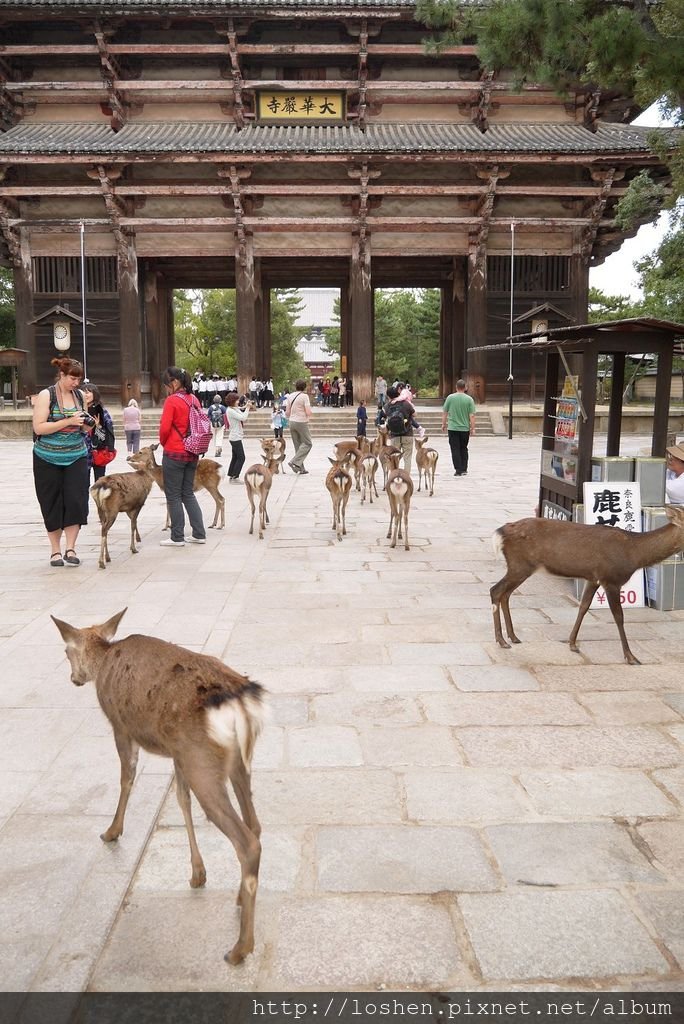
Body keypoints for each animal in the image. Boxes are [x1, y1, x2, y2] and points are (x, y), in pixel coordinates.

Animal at [50, 606, 264, 966]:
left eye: (65, 651)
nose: (74, 678)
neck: (103, 660)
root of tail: (240, 703)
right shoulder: (176, 752)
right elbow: (181, 800)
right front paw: (197, 872)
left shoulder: (121, 726)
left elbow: (127, 777)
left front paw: (112, 831)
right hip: (235, 761)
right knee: (255, 825)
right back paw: (238, 899)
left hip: (202, 761)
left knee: (246, 841)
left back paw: (239, 948)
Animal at [491, 503, 684, 663]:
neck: (634, 554)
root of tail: (501, 532)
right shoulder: (610, 578)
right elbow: (619, 617)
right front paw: (631, 657)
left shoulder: (593, 578)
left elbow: (583, 607)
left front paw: (572, 643)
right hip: (520, 565)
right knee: (495, 590)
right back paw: (501, 640)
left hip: (520, 568)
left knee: (505, 594)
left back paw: (513, 636)